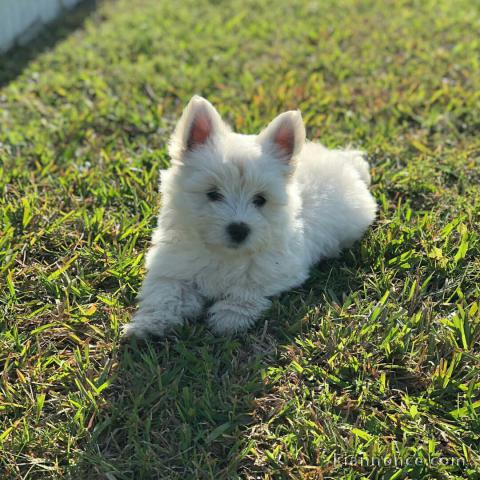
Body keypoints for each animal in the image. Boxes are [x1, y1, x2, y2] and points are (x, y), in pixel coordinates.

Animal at [123, 94, 376, 338]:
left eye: (260, 199)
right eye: (212, 194)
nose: (239, 229)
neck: (223, 254)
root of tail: (345, 161)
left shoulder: (278, 269)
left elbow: (248, 288)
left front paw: (229, 317)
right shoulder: (171, 266)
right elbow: (165, 294)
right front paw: (148, 324)